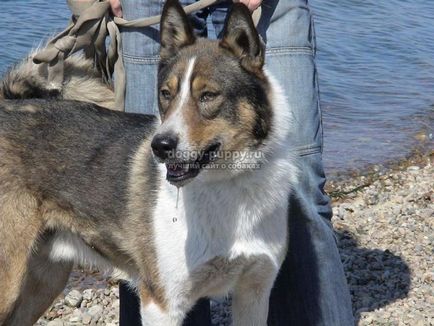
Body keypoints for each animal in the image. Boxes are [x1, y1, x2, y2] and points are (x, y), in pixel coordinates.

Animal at [0, 1, 296, 324]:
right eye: (166, 94)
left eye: (208, 96)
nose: (160, 146)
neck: (228, 183)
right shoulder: (162, 304)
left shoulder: (254, 294)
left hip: (44, 280)